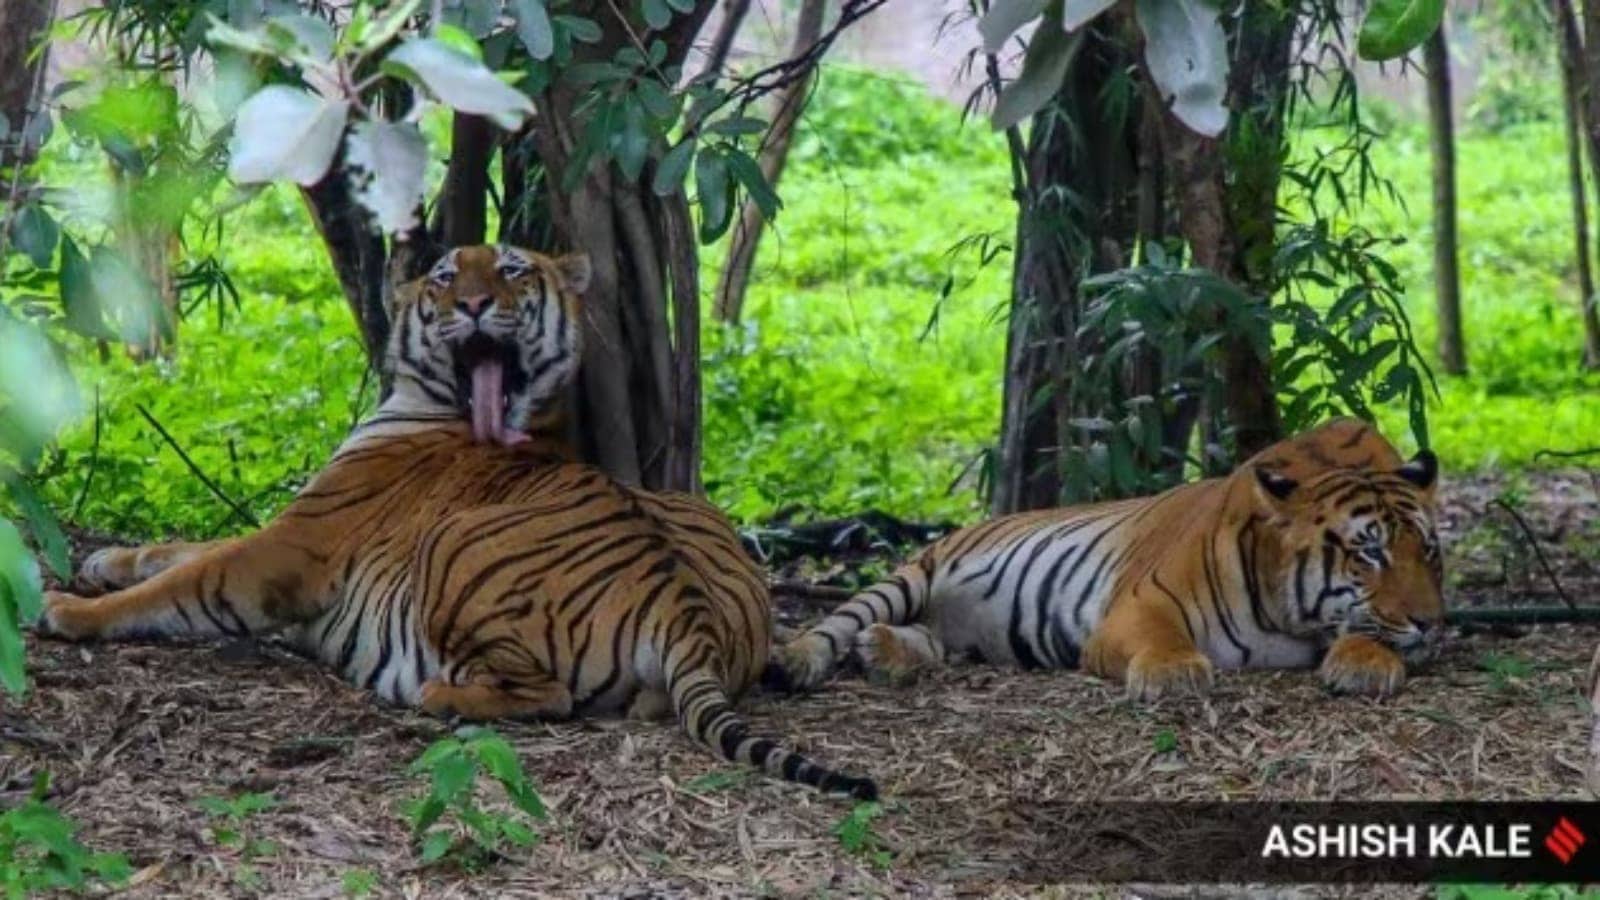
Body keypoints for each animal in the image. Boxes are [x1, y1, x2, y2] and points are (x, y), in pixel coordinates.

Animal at [37, 243, 876, 800]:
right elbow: (182, 548)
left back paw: (438, 694)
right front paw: (105, 561)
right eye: (445, 276)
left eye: (511, 271)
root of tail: (688, 609)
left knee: (547, 695)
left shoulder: (292, 547)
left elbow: (187, 580)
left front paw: (69, 609)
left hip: (453, 548)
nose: (471, 304)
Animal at [771, 419, 1444, 702]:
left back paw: (884, 652)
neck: (1288, 619)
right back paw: (799, 661)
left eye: (1428, 552)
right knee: (837, 622)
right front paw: (1173, 675)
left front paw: (1365, 664)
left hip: (962, 635)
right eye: (1370, 551)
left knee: (934, 642)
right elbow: (1162, 641)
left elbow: (1368, 634)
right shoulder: (1137, 607)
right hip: (912, 574)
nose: (1430, 623)